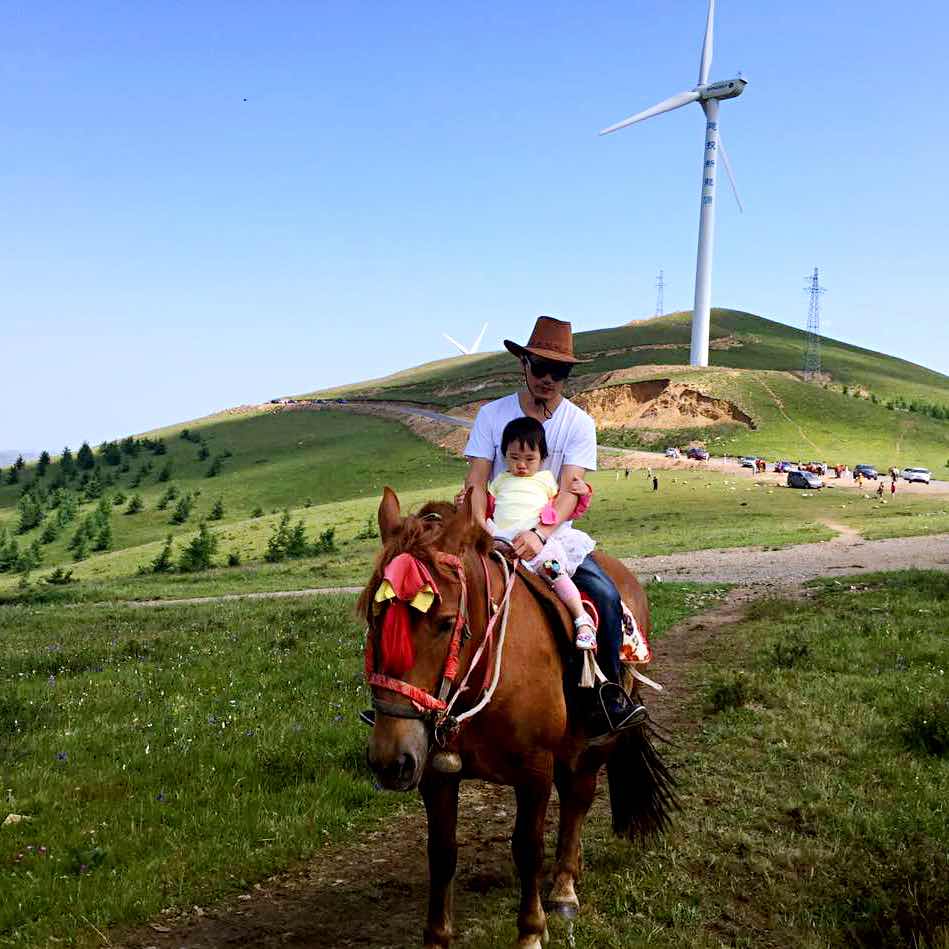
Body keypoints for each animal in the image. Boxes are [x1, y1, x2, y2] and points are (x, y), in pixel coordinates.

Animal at [356, 488, 672, 948]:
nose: (390, 760)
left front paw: (530, 931)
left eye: (445, 623)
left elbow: (527, 847)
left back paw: (564, 888)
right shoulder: (435, 772)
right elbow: (442, 851)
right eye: (373, 618)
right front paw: (437, 936)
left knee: (578, 798)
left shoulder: (534, 768)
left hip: (597, 740)